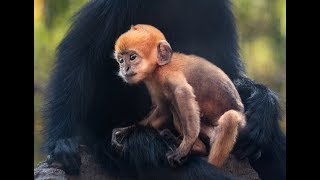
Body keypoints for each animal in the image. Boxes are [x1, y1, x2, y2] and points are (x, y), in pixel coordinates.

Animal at [112, 23, 245, 167]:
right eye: (121, 60)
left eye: (132, 57)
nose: (124, 69)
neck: (158, 68)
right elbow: (163, 108)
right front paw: (126, 130)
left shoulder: (168, 74)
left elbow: (182, 92)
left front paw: (186, 145)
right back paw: (196, 147)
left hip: (239, 125)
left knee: (230, 117)